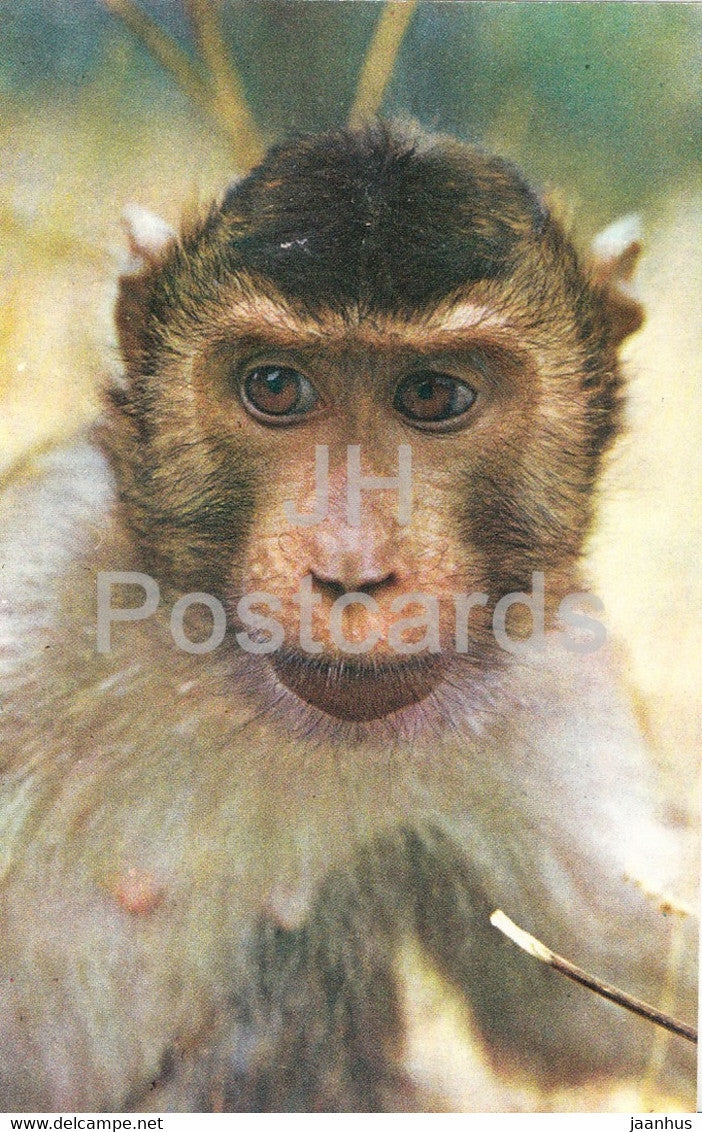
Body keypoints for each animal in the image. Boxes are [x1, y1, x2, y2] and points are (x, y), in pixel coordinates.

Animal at [0, 122, 696, 1112]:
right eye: (276, 387)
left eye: (434, 396)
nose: (352, 570)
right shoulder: (39, 579)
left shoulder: (545, 686)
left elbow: (604, 1001)